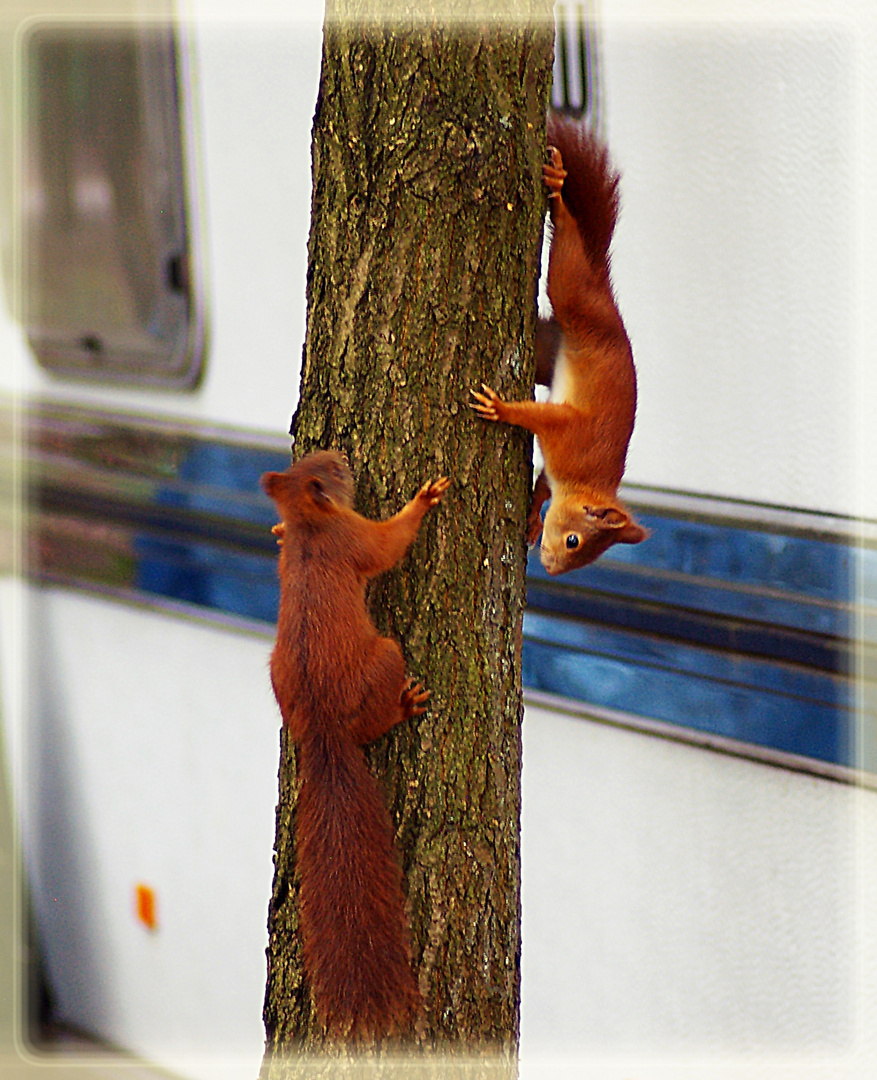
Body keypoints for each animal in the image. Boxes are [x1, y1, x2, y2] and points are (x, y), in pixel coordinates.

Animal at [258, 451, 451, 1041]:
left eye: (311, 462)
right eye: (331, 470)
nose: (343, 456)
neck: (311, 524)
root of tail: (325, 731)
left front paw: (275, 532)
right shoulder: (353, 537)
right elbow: (388, 544)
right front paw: (424, 498)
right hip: (385, 658)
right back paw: (406, 707)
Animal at [468, 111, 648, 574]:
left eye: (583, 554)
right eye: (573, 541)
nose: (550, 568)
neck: (584, 478)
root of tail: (605, 296)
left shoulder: (556, 468)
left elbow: (542, 487)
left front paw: (532, 516)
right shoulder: (568, 431)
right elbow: (538, 417)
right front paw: (501, 409)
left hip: (548, 351)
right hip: (575, 297)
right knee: (567, 259)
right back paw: (559, 196)